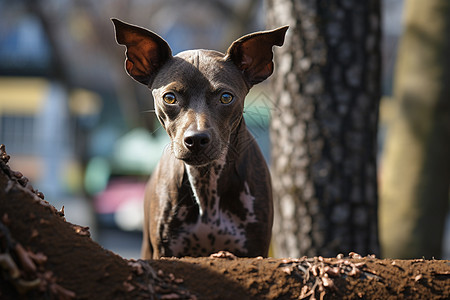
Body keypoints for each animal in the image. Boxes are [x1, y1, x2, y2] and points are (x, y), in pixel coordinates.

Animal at [113, 18, 288, 258]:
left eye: (226, 97)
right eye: (170, 98)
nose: (196, 139)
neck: (207, 180)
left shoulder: (254, 249)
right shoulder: (165, 250)